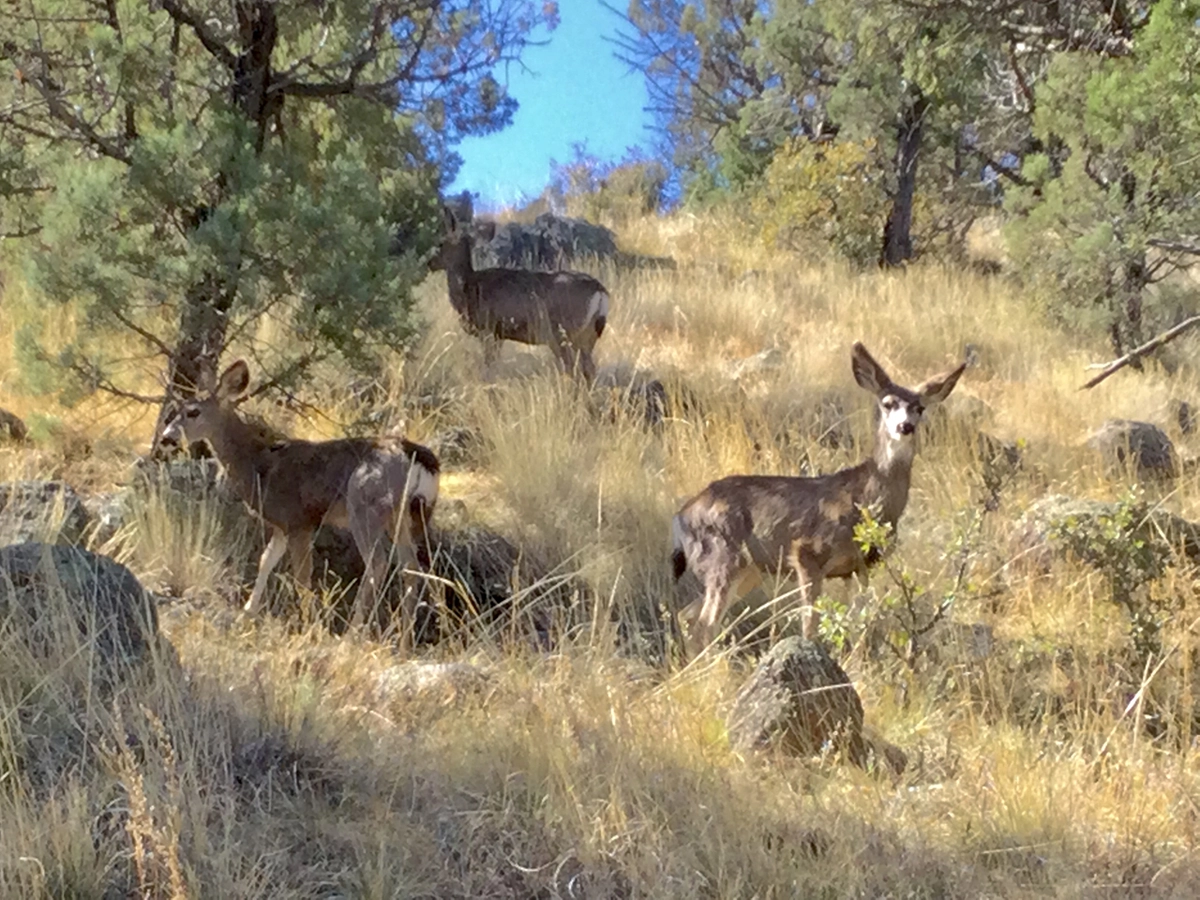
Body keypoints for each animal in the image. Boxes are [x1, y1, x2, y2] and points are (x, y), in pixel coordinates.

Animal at [159, 360, 440, 640]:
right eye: (175, 410)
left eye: (193, 412)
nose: (166, 438)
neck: (259, 466)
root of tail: (416, 456)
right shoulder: (283, 525)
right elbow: (266, 561)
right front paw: (247, 614)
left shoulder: (298, 521)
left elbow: (302, 576)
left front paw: (310, 627)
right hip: (405, 515)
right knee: (410, 567)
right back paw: (403, 638)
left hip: (364, 503)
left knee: (378, 564)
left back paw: (352, 633)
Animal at [435, 207, 610, 382]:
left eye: (440, 244)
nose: (431, 263)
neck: (468, 286)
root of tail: (600, 290)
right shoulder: (499, 335)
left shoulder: (488, 329)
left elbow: (489, 366)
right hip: (587, 337)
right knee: (588, 369)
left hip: (563, 333)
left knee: (573, 368)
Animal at [670, 342, 966, 660]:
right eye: (887, 403)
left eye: (919, 408)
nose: (905, 426)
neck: (865, 501)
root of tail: (681, 517)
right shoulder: (807, 552)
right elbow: (810, 623)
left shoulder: (859, 567)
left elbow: (859, 624)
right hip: (722, 553)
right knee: (705, 622)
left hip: (749, 569)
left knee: (688, 615)